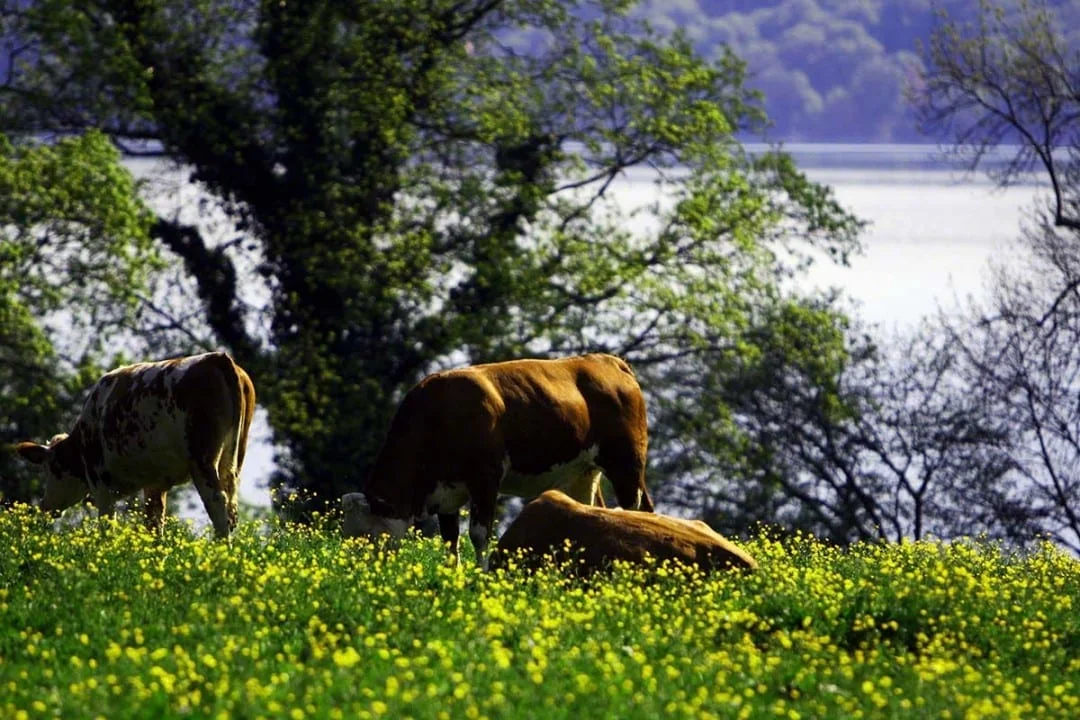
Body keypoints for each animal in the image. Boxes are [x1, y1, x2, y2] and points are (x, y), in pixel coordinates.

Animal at [14, 351, 254, 537]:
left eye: (51, 468)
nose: (45, 506)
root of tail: (219, 358)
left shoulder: (101, 483)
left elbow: (107, 526)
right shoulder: (155, 484)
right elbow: (154, 525)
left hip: (202, 459)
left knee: (217, 502)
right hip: (233, 458)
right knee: (231, 508)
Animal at [341, 354, 652, 569]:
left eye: (367, 536)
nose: (353, 571)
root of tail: (607, 360)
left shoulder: (485, 478)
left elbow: (479, 535)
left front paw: (481, 575)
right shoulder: (448, 492)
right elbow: (450, 539)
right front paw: (451, 576)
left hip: (626, 464)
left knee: (637, 508)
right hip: (583, 472)